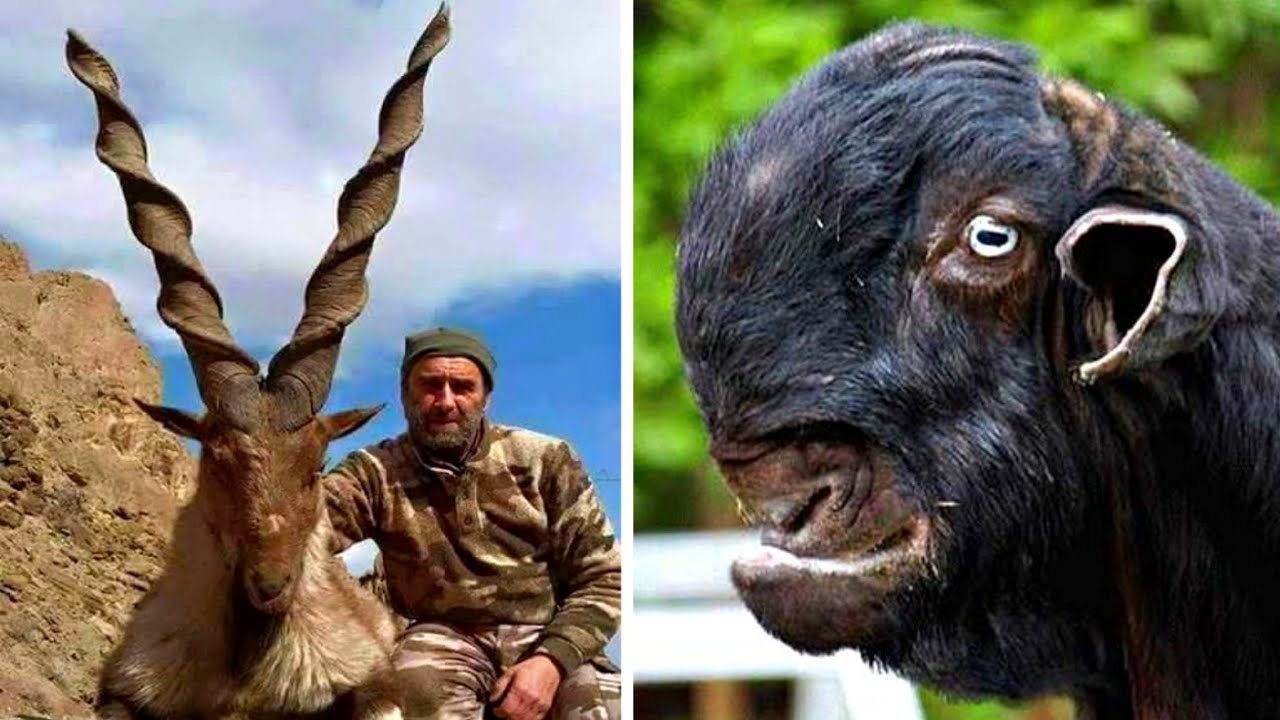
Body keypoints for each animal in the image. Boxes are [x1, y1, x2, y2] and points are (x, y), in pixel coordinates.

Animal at [66, 7, 450, 719]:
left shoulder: (377, 679)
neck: (245, 675)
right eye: (216, 460)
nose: (271, 583)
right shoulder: (124, 689)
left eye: (316, 466)